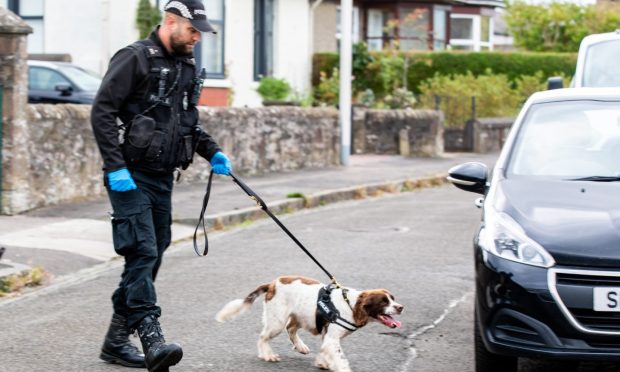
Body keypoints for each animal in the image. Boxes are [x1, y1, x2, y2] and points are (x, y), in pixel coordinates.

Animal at [216, 274, 404, 370]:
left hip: (301, 316)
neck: (350, 304)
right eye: (384, 302)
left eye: (393, 299)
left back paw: (300, 347)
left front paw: (322, 363)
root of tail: (271, 284)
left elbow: (325, 351)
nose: (401, 307)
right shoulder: (332, 338)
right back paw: (268, 355)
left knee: (291, 329)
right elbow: (340, 359)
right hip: (277, 321)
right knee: (263, 337)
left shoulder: (328, 336)